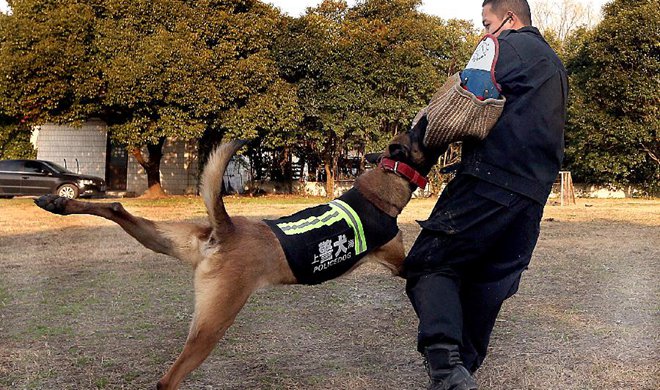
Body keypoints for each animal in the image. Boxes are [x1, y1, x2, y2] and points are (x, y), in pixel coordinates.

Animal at [36, 117, 444, 388]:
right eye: (417, 131)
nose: (427, 117)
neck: (379, 189)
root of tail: (226, 228)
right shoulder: (399, 263)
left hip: (164, 240)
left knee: (117, 207)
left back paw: (56, 202)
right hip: (211, 326)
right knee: (167, 381)